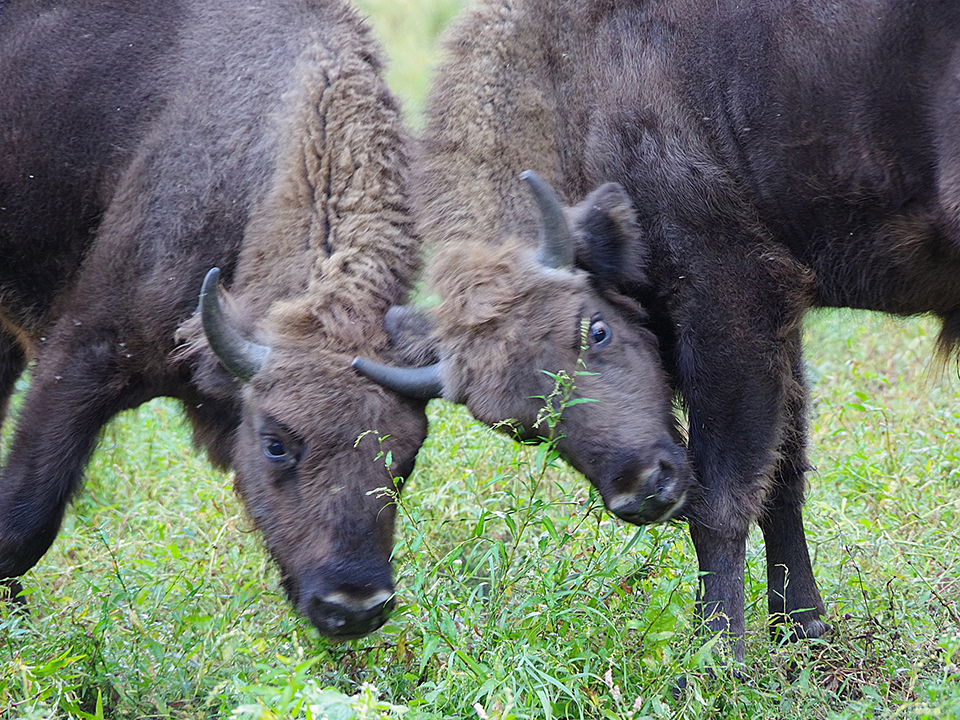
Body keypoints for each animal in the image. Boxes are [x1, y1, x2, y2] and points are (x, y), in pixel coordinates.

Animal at [356, 0, 960, 660]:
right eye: (517, 428)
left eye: (596, 331)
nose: (641, 491)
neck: (574, 78)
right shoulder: (781, 325)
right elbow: (783, 477)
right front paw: (801, 628)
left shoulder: (730, 302)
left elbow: (719, 501)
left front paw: (712, 657)